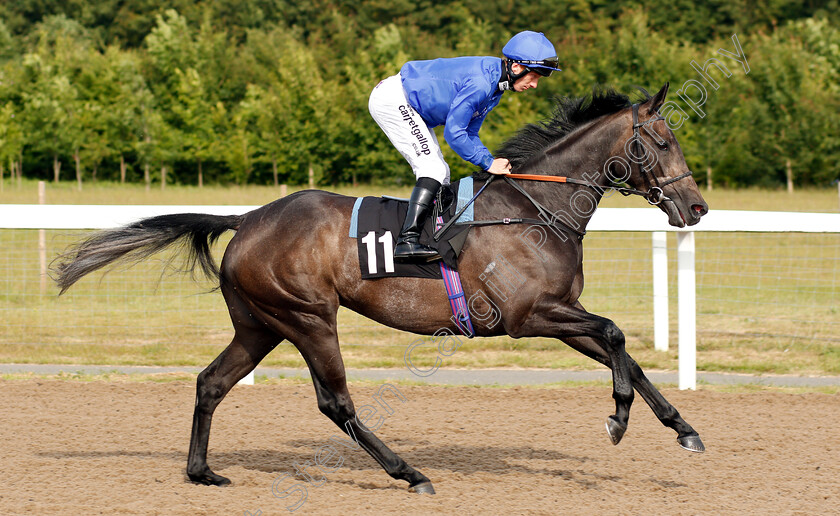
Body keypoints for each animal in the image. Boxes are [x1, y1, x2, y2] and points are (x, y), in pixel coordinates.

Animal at [52, 82, 708, 494]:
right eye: (662, 142)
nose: (697, 207)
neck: (533, 209)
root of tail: (249, 219)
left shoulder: (561, 311)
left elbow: (625, 354)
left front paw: (684, 429)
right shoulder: (530, 315)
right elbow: (616, 334)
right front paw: (618, 419)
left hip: (260, 324)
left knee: (211, 382)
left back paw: (201, 472)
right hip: (308, 317)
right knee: (335, 402)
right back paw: (409, 472)